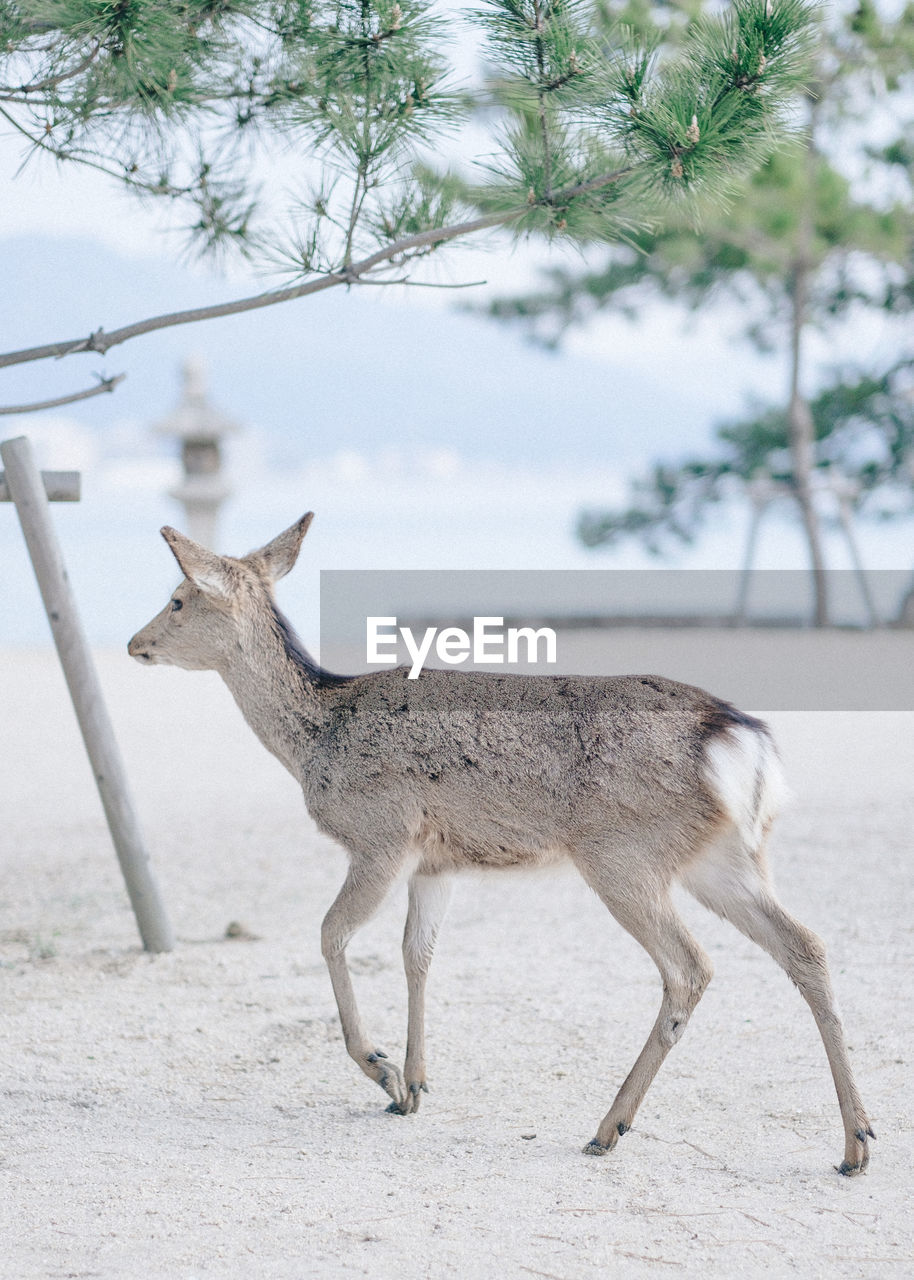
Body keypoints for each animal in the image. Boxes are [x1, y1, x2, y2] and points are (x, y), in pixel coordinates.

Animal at [124, 514, 870, 1172]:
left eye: (178, 598)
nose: (134, 643)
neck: (317, 739)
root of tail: (739, 739)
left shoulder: (382, 834)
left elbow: (332, 934)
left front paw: (380, 1069)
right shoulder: (436, 862)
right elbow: (417, 954)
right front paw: (414, 1087)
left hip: (623, 854)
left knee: (691, 966)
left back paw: (608, 1127)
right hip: (724, 857)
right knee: (806, 946)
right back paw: (856, 1143)